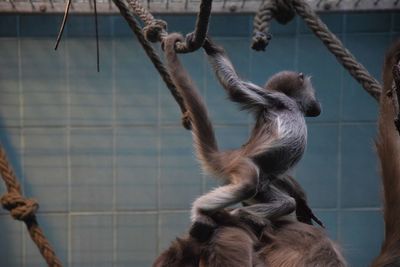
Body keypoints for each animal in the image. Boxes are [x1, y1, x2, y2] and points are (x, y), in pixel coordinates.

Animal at [162, 31, 322, 237]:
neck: (296, 108)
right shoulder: (279, 100)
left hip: (263, 184)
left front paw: (303, 202)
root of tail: (232, 156)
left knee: (285, 202)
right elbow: (235, 88)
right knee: (248, 186)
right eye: (313, 93)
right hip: (244, 165)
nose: (317, 105)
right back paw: (202, 210)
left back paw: (243, 214)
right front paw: (211, 47)